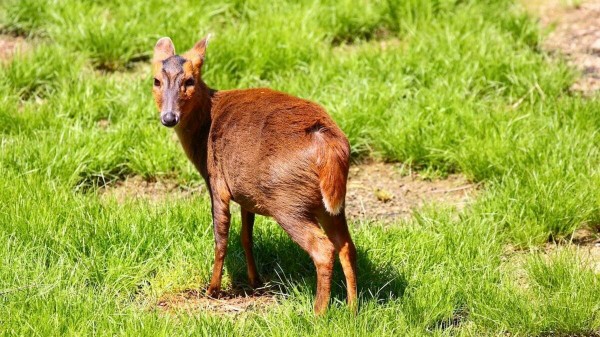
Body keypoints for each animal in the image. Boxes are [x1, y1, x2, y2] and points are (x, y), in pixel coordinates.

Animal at [151, 34, 356, 312]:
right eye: (156, 80)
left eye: (190, 80)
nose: (169, 117)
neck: (204, 127)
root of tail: (329, 145)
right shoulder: (245, 193)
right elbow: (246, 236)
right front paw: (255, 281)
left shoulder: (217, 182)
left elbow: (221, 238)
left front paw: (213, 290)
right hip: (330, 204)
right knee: (346, 246)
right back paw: (353, 308)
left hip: (288, 201)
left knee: (323, 249)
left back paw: (318, 313)